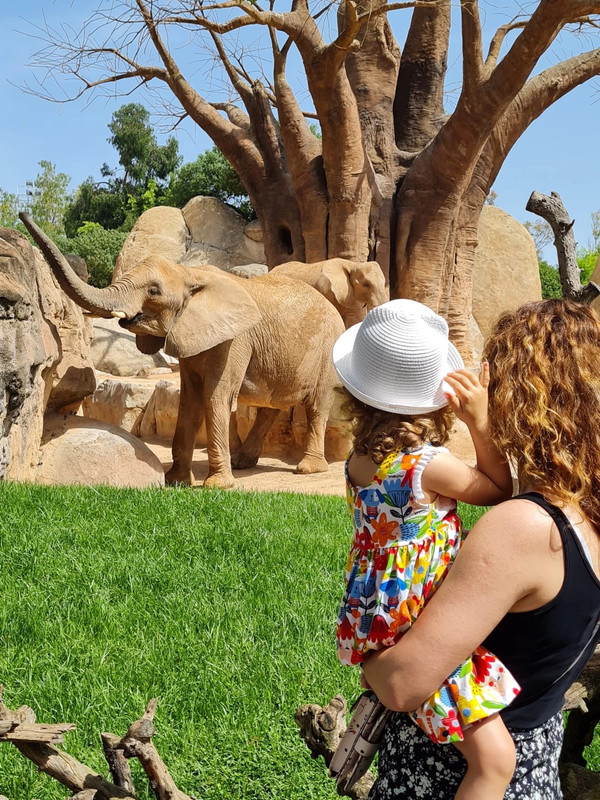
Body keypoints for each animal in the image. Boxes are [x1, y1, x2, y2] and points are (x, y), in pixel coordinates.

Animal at [21, 212, 344, 488]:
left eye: (153, 291)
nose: (23, 215)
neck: (190, 272)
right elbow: (190, 398)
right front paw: (176, 481)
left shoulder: (235, 340)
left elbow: (215, 396)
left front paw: (217, 486)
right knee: (271, 406)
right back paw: (244, 463)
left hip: (328, 348)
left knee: (316, 404)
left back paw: (308, 469)